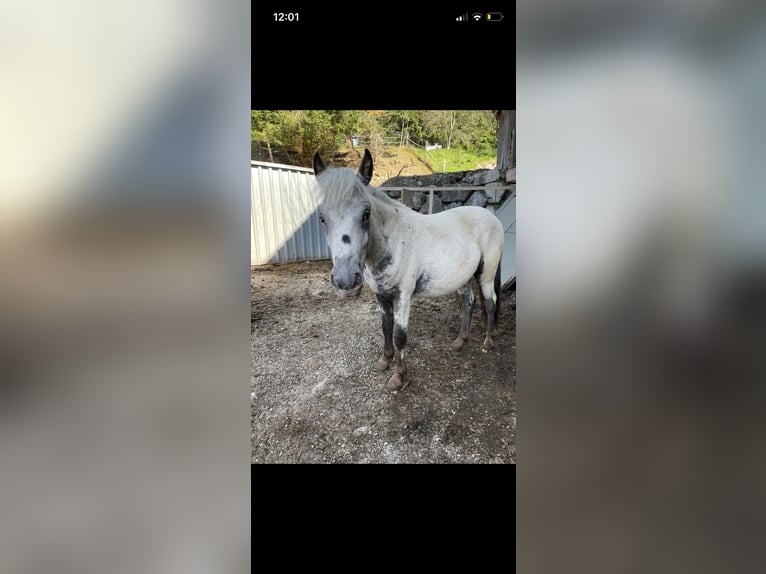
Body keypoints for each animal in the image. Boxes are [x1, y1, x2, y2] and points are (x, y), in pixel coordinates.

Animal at [313, 149, 504, 392]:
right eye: (322, 217)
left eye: (366, 213)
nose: (345, 282)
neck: (394, 239)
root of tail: (493, 217)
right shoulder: (381, 295)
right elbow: (385, 327)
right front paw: (384, 361)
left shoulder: (402, 296)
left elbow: (400, 335)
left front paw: (398, 377)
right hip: (463, 279)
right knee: (468, 303)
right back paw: (460, 341)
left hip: (486, 274)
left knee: (490, 303)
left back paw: (488, 342)